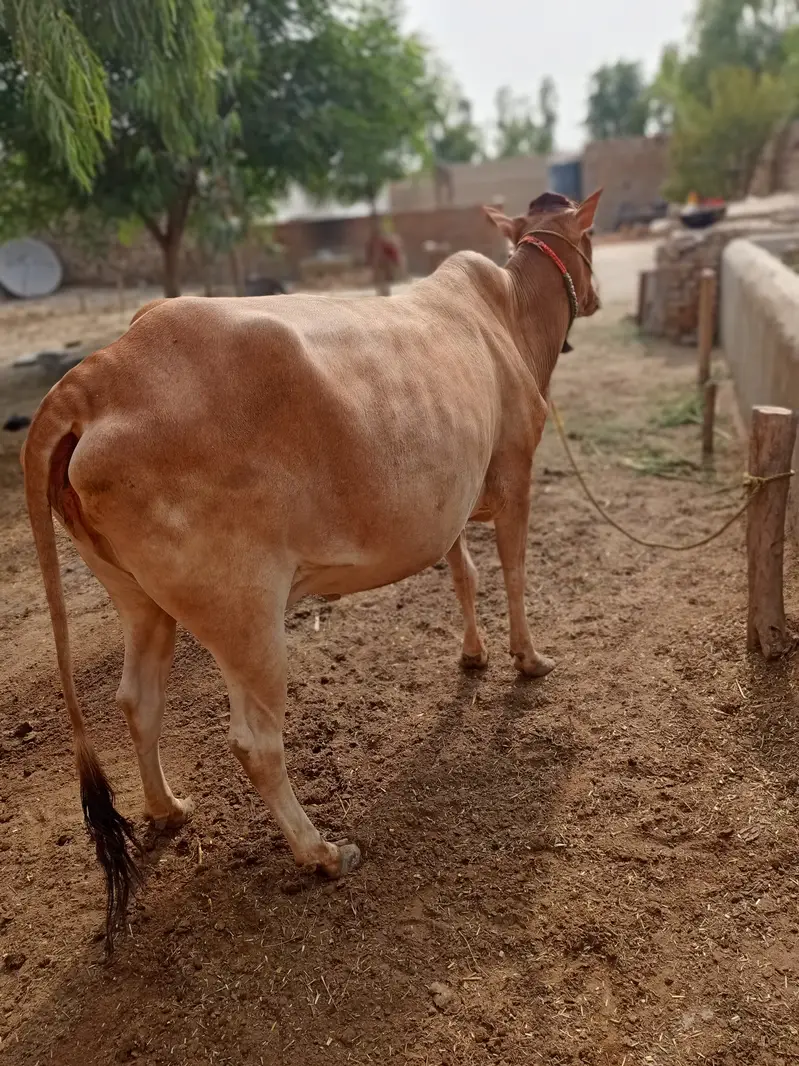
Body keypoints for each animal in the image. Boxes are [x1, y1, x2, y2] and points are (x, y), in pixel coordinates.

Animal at [22, 189, 602, 948]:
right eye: (587, 240)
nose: (595, 296)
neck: (507, 311)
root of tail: (92, 378)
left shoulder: (444, 497)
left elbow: (463, 576)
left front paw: (473, 655)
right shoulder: (512, 471)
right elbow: (511, 574)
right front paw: (527, 659)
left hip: (141, 600)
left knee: (136, 702)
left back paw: (169, 806)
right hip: (243, 610)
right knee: (255, 742)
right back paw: (320, 851)